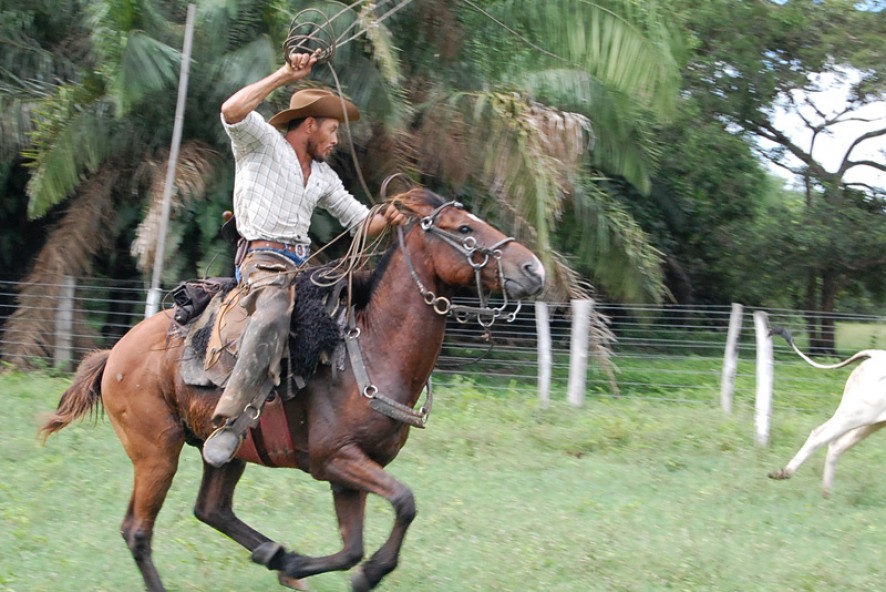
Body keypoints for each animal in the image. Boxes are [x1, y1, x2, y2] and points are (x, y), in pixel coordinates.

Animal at [40, 190, 548, 592]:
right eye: (464, 228)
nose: (534, 269)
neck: (370, 347)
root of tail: (115, 355)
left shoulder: (351, 472)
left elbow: (353, 546)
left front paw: (299, 564)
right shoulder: (336, 459)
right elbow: (404, 503)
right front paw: (365, 572)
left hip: (225, 449)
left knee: (212, 509)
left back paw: (274, 555)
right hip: (156, 452)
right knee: (138, 530)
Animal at [772, 326, 886, 498]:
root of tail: (876, 354)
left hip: (870, 421)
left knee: (837, 445)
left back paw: (827, 495)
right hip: (856, 414)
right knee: (820, 435)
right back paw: (785, 473)